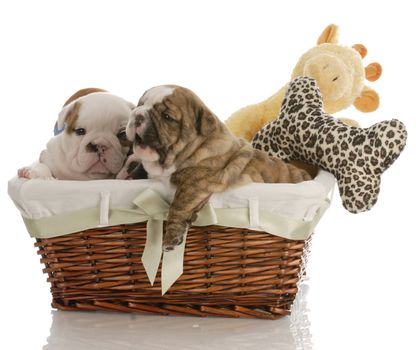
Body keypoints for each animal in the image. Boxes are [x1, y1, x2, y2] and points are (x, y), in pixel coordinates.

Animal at [125, 87, 310, 252]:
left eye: (166, 117)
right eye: (140, 104)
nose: (138, 115)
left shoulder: (198, 181)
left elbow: (179, 203)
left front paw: (171, 237)